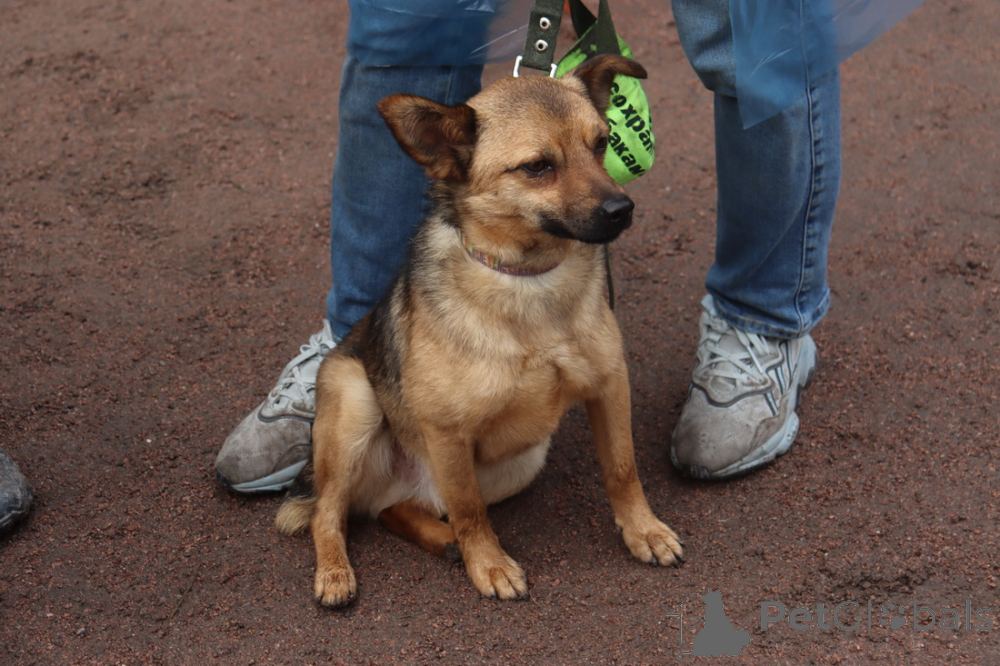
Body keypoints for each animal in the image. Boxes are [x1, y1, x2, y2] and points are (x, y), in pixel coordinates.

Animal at [276, 54, 683, 607]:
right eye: (537, 166)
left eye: (601, 143)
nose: (623, 211)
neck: (528, 278)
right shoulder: (447, 432)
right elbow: (471, 511)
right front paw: (489, 565)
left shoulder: (610, 386)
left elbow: (623, 470)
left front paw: (644, 531)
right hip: (355, 406)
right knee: (329, 513)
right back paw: (336, 573)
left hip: (522, 460)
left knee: (392, 510)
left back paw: (441, 539)